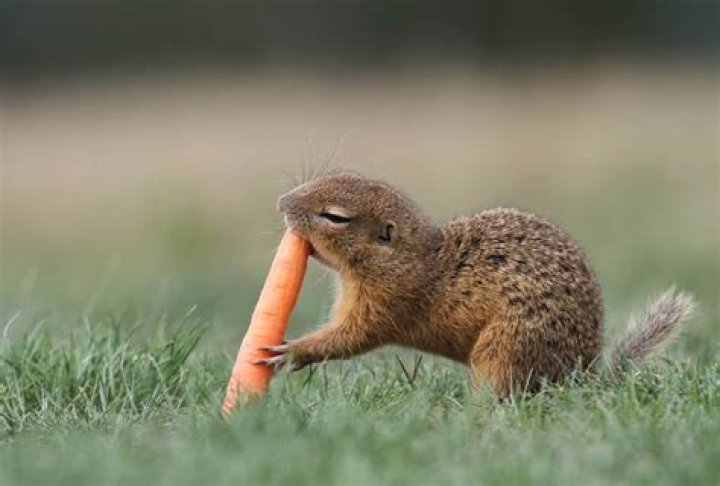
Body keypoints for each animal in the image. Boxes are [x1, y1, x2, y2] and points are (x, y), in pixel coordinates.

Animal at [258, 172, 695, 397]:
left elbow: (348, 339)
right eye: (329, 177)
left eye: (335, 217)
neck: (412, 257)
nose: (281, 203)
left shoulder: (385, 303)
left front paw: (291, 351)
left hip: (502, 350)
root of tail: (580, 375)